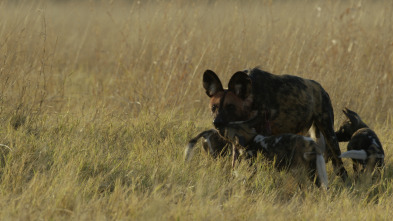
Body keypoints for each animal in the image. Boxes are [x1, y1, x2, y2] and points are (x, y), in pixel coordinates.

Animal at [202, 68, 346, 181]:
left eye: (230, 106)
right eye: (214, 107)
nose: (217, 123)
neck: (251, 100)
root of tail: (320, 88)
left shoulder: (261, 139)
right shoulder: (237, 140)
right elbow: (234, 164)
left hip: (329, 135)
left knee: (340, 166)